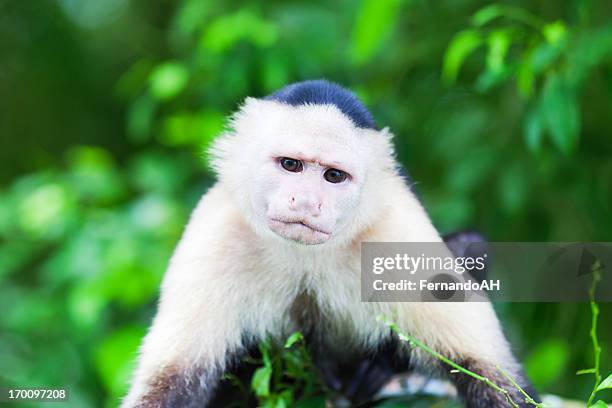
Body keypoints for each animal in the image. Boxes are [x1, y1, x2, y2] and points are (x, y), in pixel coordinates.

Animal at [122, 79, 536, 408]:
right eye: (290, 165)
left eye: (334, 176)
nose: (306, 202)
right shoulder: (217, 231)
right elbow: (170, 380)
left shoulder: (397, 231)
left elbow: (493, 376)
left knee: (471, 246)